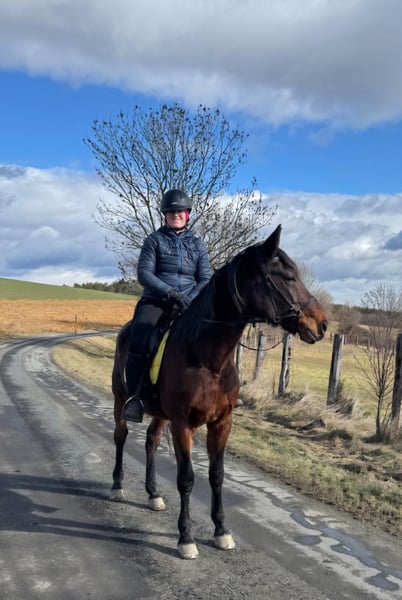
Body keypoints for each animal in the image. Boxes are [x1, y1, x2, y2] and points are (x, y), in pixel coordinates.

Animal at [110, 225, 328, 559]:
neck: (207, 358)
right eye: (289, 277)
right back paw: (117, 487)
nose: (322, 324)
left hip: (161, 414)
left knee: (151, 441)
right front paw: (186, 538)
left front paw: (221, 531)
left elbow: (217, 475)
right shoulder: (183, 424)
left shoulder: (221, 423)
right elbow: (186, 478)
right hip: (121, 401)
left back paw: (153, 494)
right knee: (121, 437)